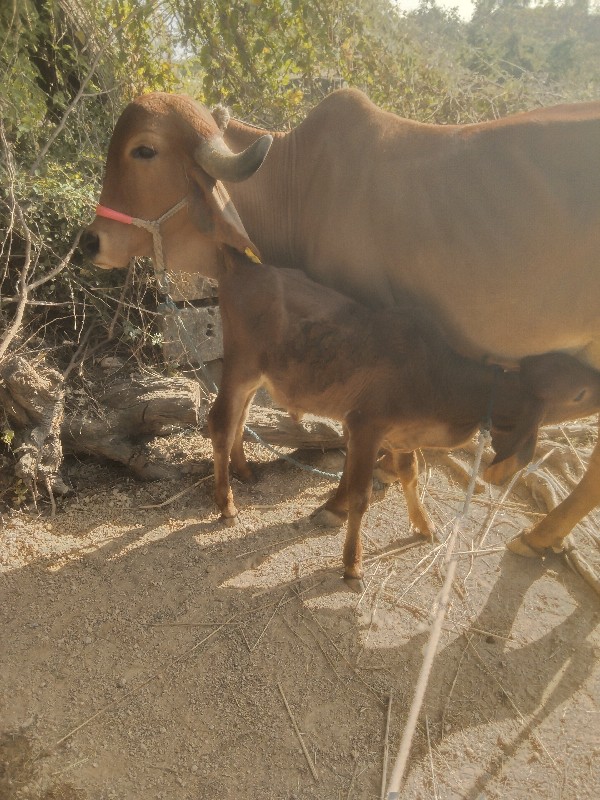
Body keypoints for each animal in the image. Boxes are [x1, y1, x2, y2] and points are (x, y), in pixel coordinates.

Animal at [209, 247, 600, 584]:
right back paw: (226, 503)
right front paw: (352, 564)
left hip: (256, 376)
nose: (597, 375)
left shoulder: (401, 436)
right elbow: (361, 495)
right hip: (240, 365)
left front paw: (424, 525)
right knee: (221, 423)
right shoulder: (365, 425)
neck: (441, 379)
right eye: (578, 393)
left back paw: (244, 471)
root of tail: (242, 265)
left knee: (240, 419)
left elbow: (410, 475)